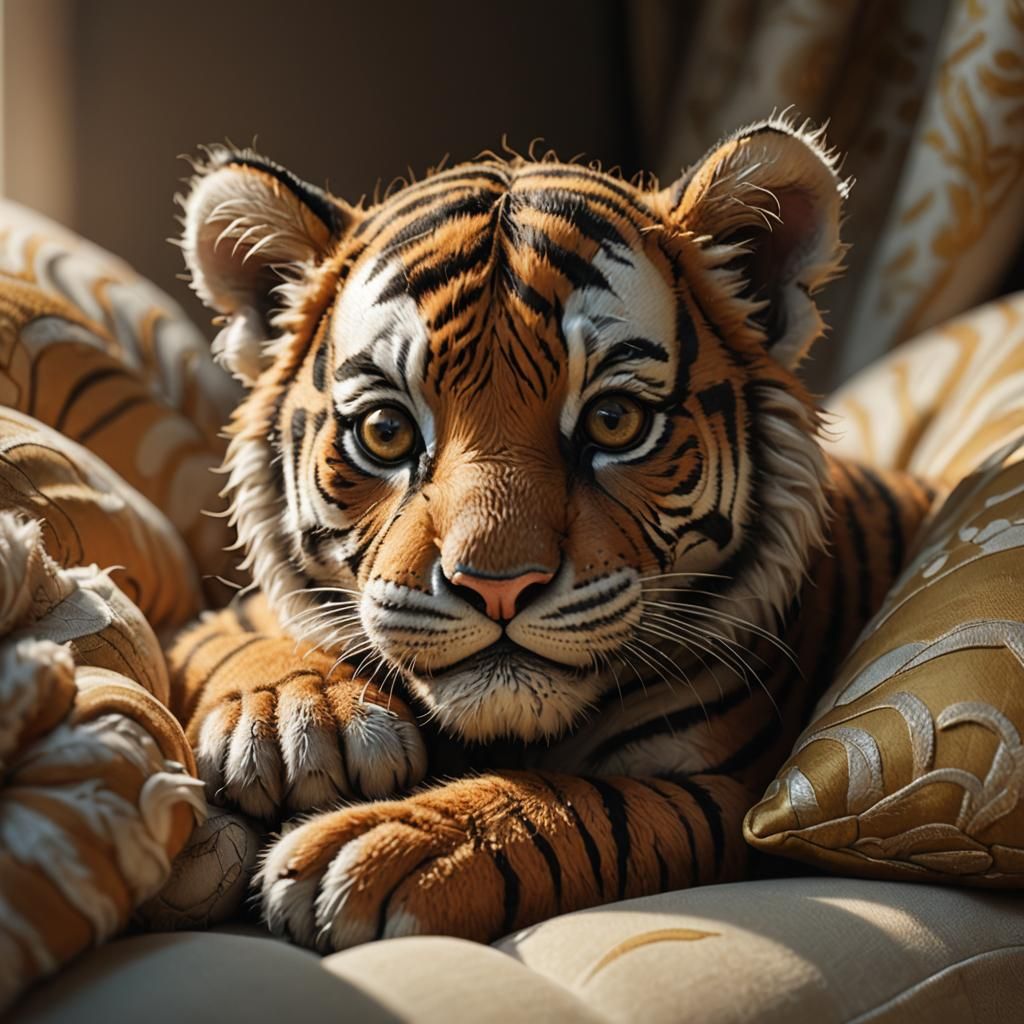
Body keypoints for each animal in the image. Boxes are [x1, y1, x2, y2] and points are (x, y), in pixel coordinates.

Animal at [168, 117, 935, 952]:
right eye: (386, 431)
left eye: (614, 421)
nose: (498, 587)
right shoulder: (220, 619)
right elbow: (238, 637)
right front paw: (296, 720)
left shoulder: (729, 794)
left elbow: (585, 804)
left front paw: (391, 850)